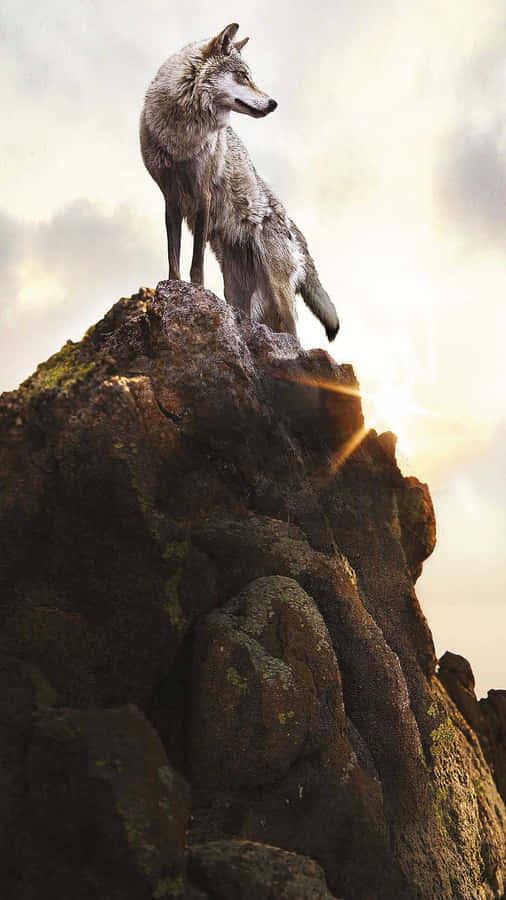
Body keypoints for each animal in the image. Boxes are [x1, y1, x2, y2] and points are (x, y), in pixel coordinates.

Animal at [140, 23, 339, 341]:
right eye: (243, 75)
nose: (273, 103)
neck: (182, 134)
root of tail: (292, 226)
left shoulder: (203, 195)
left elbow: (196, 263)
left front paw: (196, 291)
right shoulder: (171, 198)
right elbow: (174, 257)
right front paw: (173, 289)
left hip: (278, 294)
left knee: (296, 337)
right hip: (238, 292)